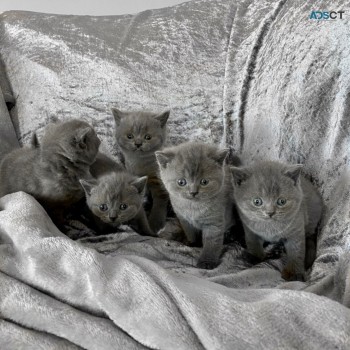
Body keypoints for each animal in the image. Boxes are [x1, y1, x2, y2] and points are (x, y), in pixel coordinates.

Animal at [156, 141, 235, 270]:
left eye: (204, 182)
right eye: (181, 182)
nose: (193, 192)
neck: (193, 207)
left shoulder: (214, 222)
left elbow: (212, 244)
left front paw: (207, 262)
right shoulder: (183, 219)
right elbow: (190, 233)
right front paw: (192, 243)